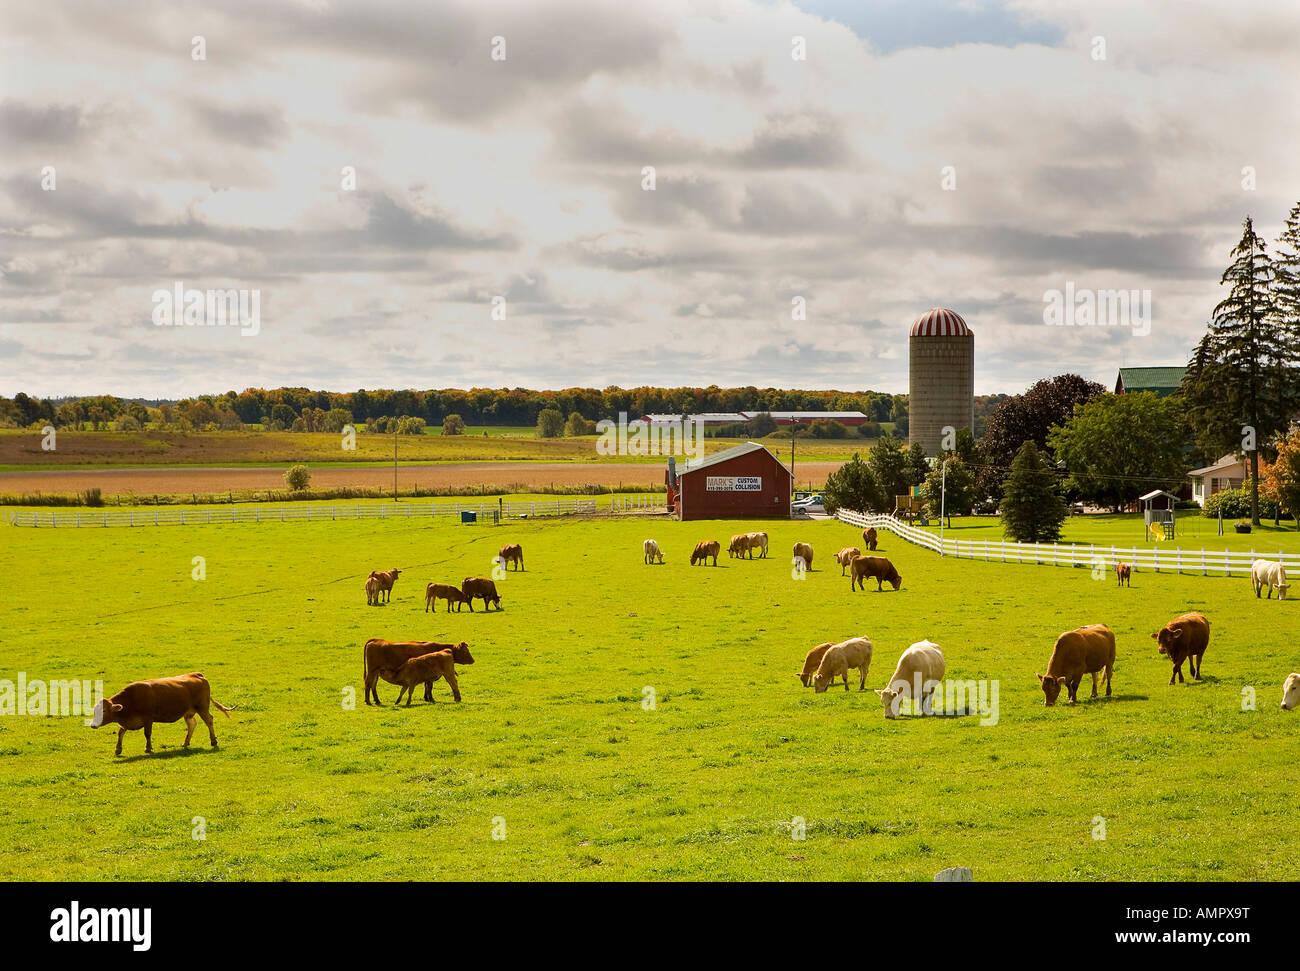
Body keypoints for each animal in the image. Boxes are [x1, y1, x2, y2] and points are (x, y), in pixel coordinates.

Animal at [90, 675, 235, 759]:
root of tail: (197, 675)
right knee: (192, 724)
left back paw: (213, 741)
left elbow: (147, 734)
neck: (131, 700)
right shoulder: (127, 722)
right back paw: (186, 742)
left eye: (103, 710)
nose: (93, 725)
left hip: (202, 707)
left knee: (209, 720)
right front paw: (118, 749)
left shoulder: (148, 719)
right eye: (95, 711)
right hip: (188, 712)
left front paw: (148, 748)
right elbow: (120, 733)